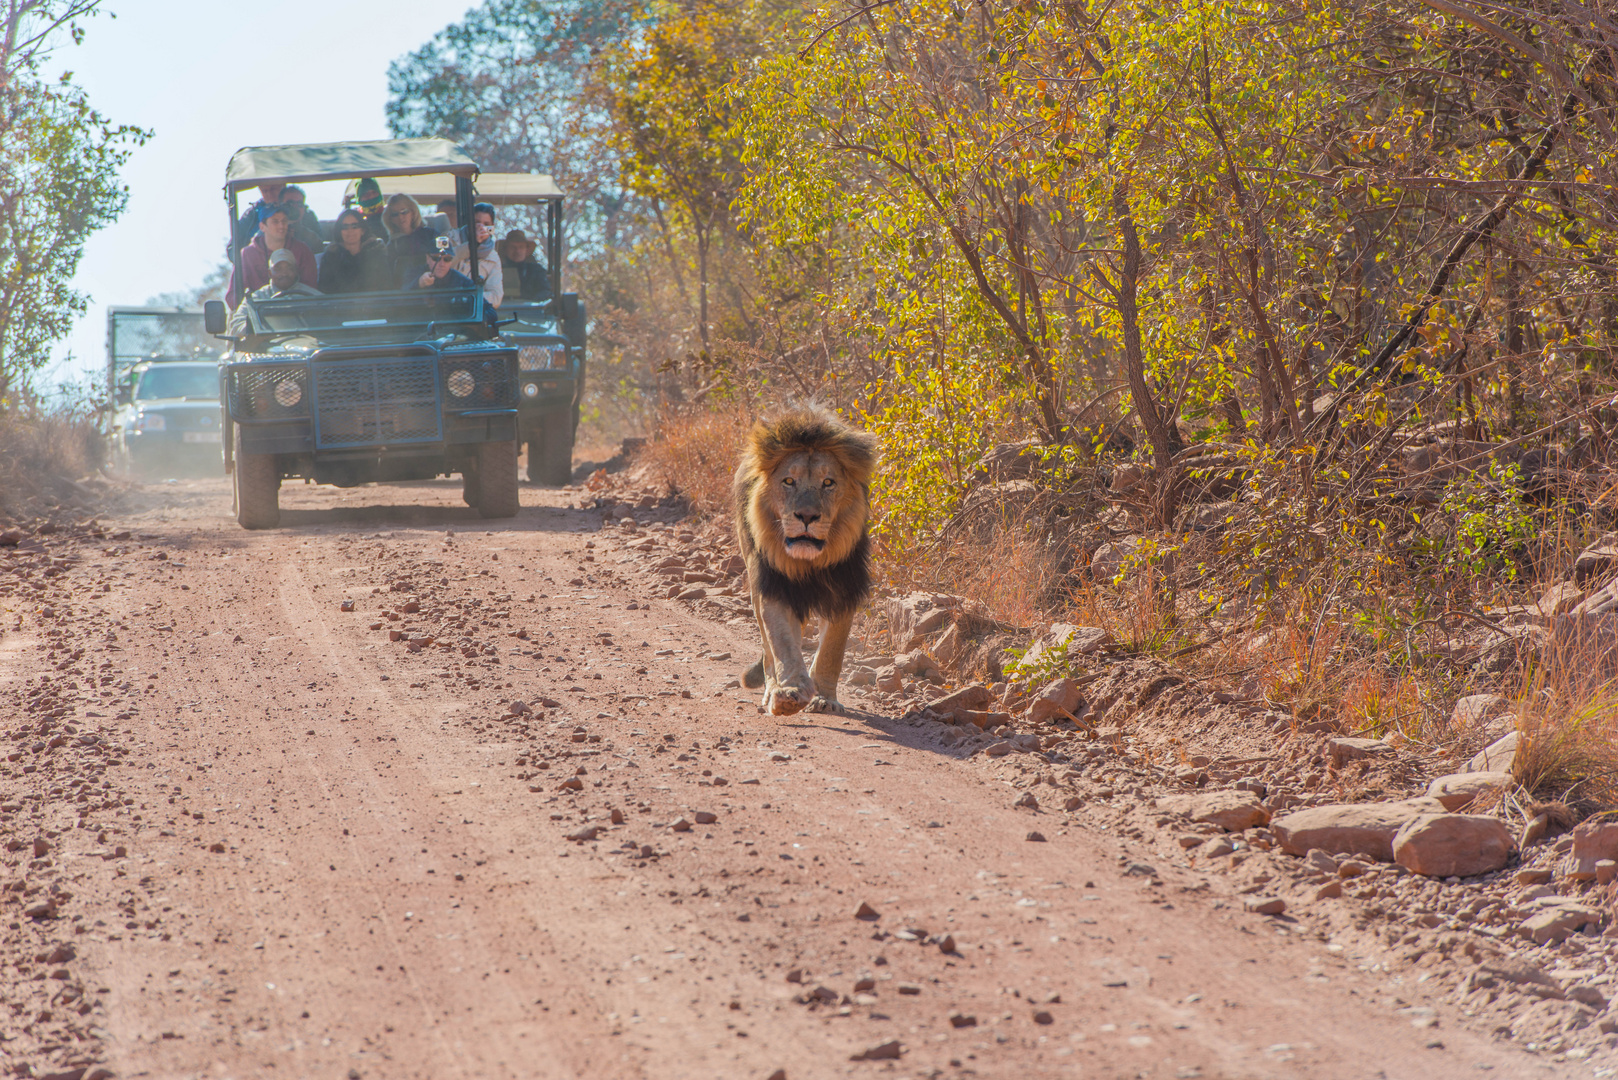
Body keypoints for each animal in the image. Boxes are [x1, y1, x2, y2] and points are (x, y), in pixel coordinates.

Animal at [737, 404, 880, 718]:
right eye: (789, 481)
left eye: (828, 483)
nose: (806, 516)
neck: (809, 563)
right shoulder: (773, 586)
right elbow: (782, 644)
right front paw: (789, 693)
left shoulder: (843, 589)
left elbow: (831, 651)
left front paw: (825, 699)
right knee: (768, 650)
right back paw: (771, 690)